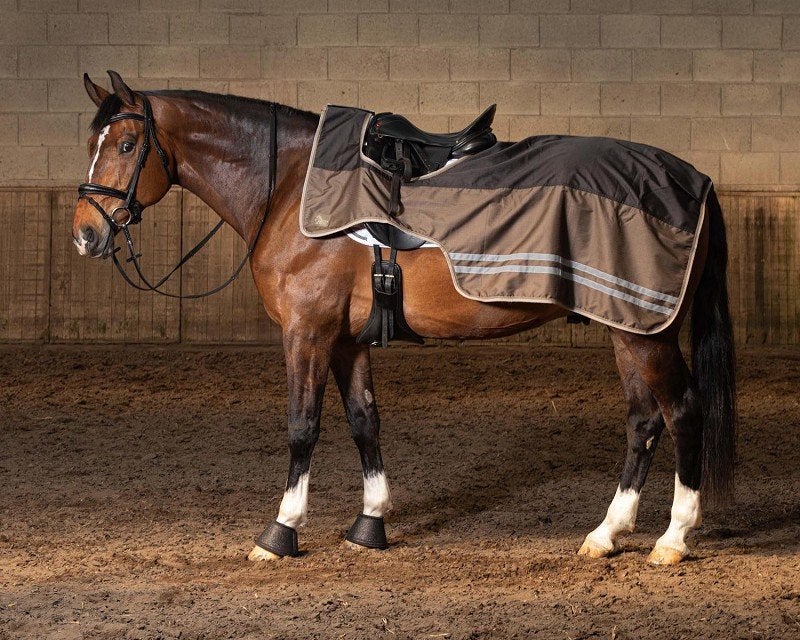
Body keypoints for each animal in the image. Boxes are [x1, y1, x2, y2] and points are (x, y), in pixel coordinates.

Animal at [72, 71, 736, 566]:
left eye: (126, 146)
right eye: (92, 144)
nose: (85, 235)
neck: (289, 188)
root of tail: (696, 180)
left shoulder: (307, 333)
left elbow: (302, 426)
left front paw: (281, 531)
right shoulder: (344, 340)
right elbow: (364, 421)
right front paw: (370, 524)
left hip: (645, 333)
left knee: (681, 411)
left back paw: (673, 538)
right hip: (629, 330)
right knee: (643, 420)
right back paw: (607, 533)